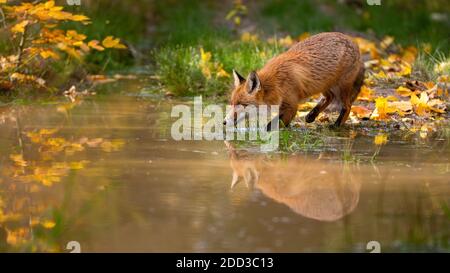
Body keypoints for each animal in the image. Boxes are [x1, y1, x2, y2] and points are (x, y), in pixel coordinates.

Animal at [223, 31, 364, 127]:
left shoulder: (291, 106)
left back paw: (336, 125)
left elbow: (273, 126)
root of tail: (353, 41)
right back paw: (312, 115)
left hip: (341, 87)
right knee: (329, 97)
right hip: (323, 84)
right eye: (232, 103)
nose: (224, 122)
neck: (275, 84)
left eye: (242, 105)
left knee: (347, 106)